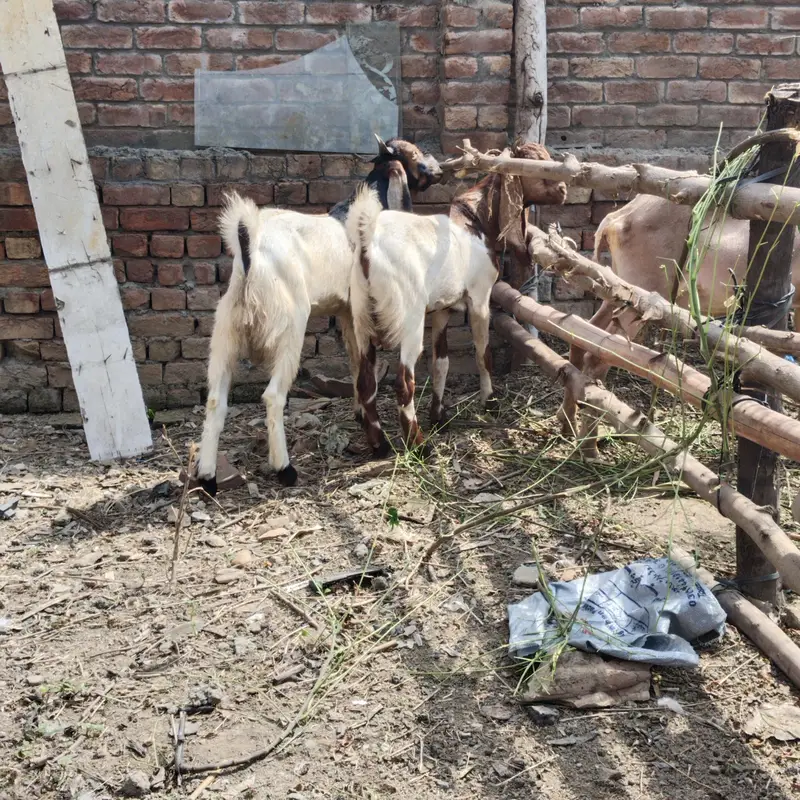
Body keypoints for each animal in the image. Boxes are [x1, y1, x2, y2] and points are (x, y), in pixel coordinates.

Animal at [195, 138, 442, 495]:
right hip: (290, 328)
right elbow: (364, 369)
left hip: (226, 332)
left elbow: (356, 365)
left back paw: (207, 478)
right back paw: (285, 470)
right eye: (415, 153)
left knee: (215, 400)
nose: (439, 170)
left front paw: (359, 413)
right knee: (273, 396)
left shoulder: (346, 313)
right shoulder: (358, 311)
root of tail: (250, 250)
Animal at [345, 141, 568, 452]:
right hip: (409, 321)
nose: (563, 190)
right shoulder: (480, 297)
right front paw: (490, 402)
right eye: (533, 165)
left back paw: (379, 445)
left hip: (361, 319)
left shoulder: (442, 309)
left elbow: (441, 363)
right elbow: (483, 353)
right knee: (404, 382)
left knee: (366, 380)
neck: (476, 222)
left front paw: (439, 415)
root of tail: (367, 247)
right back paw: (418, 444)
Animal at [557, 193, 800, 459]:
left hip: (618, 292)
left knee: (584, 335)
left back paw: (567, 424)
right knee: (598, 357)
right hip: (639, 294)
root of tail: (615, 218)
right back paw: (589, 447)